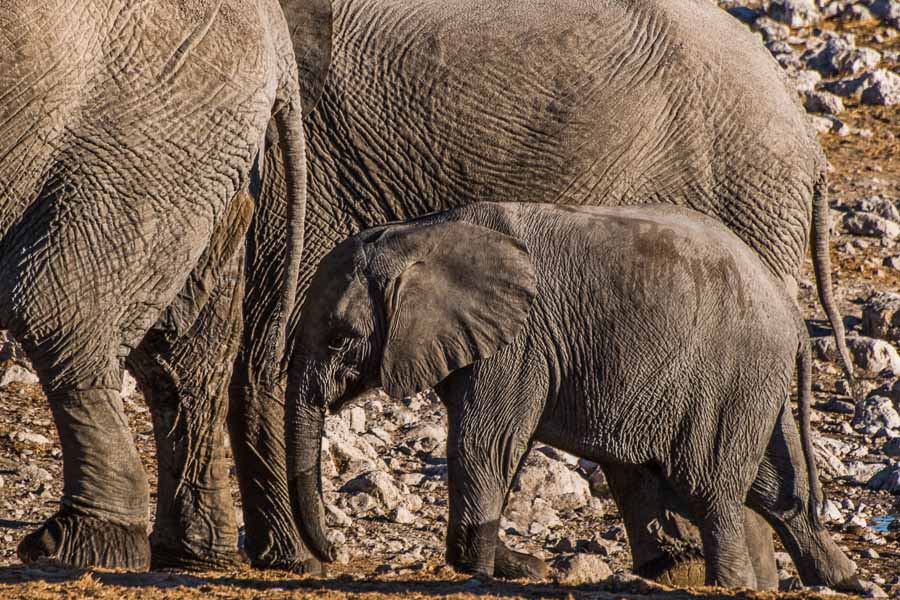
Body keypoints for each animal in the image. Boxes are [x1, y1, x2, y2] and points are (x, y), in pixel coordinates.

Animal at [1, 0, 326, 572]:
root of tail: (276, 34)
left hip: (134, 138)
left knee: (54, 313)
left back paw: (78, 546)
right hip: (195, 155)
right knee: (181, 351)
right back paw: (193, 554)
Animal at [286, 204, 856, 588]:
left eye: (339, 339)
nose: (331, 554)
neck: (421, 233)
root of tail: (792, 314)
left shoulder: (517, 342)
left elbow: (486, 444)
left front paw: (477, 571)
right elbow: (501, 450)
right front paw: (523, 567)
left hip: (731, 375)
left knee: (708, 484)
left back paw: (731, 585)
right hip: (753, 383)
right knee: (774, 486)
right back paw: (842, 580)